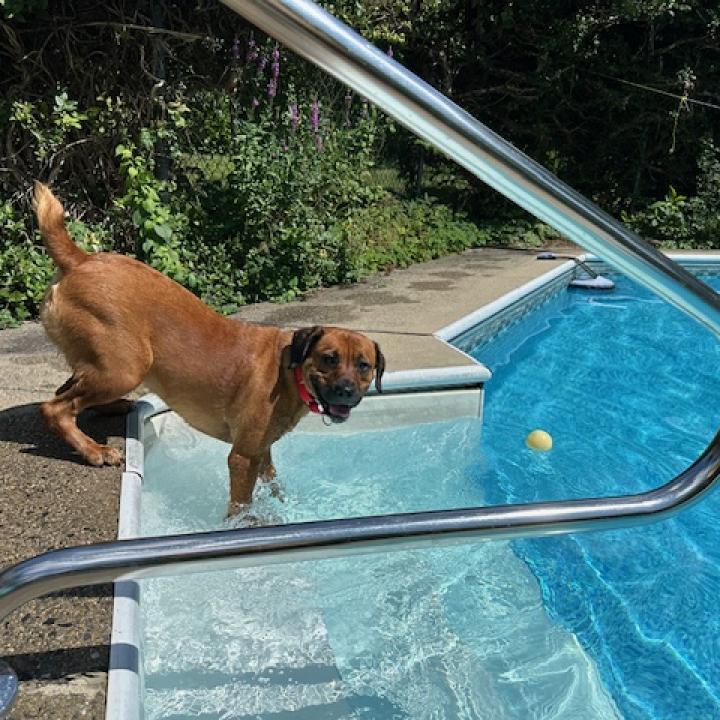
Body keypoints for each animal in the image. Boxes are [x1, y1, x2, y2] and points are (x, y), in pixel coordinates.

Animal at [33, 183, 382, 516]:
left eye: (363, 366)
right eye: (329, 359)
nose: (347, 391)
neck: (289, 371)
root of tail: (80, 259)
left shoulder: (262, 451)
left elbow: (272, 483)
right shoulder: (243, 457)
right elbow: (242, 503)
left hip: (106, 364)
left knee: (68, 390)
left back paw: (111, 409)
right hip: (126, 368)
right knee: (54, 407)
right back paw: (94, 450)